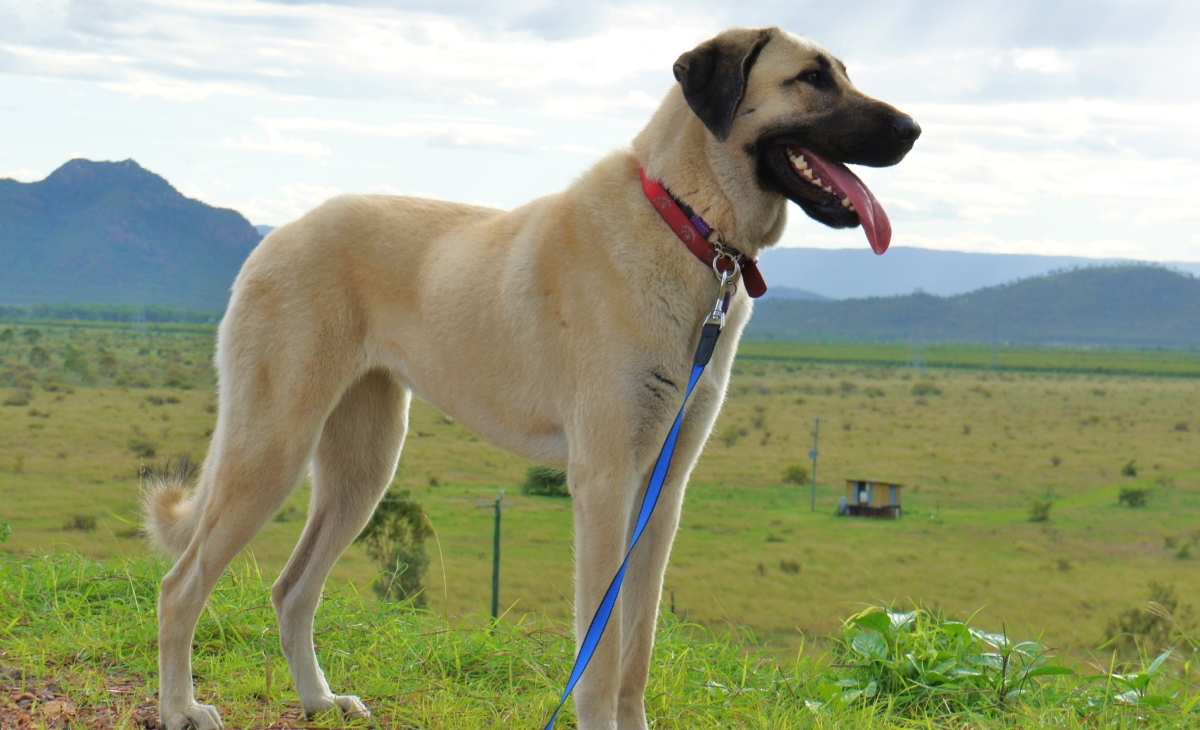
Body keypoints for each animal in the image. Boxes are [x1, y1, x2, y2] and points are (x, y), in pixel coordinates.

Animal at [142, 25, 916, 725]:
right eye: (811, 78)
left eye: (843, 72)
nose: (913, 130)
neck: (685, 219)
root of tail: (277, 234)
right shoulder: (603, 483)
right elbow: (600, 659)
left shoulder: (661, 494)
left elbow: (637, 651)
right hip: (272, 446)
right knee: (180, 587)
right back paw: (182, 708)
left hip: (363, 466)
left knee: (292, 589)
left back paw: (318, 700)